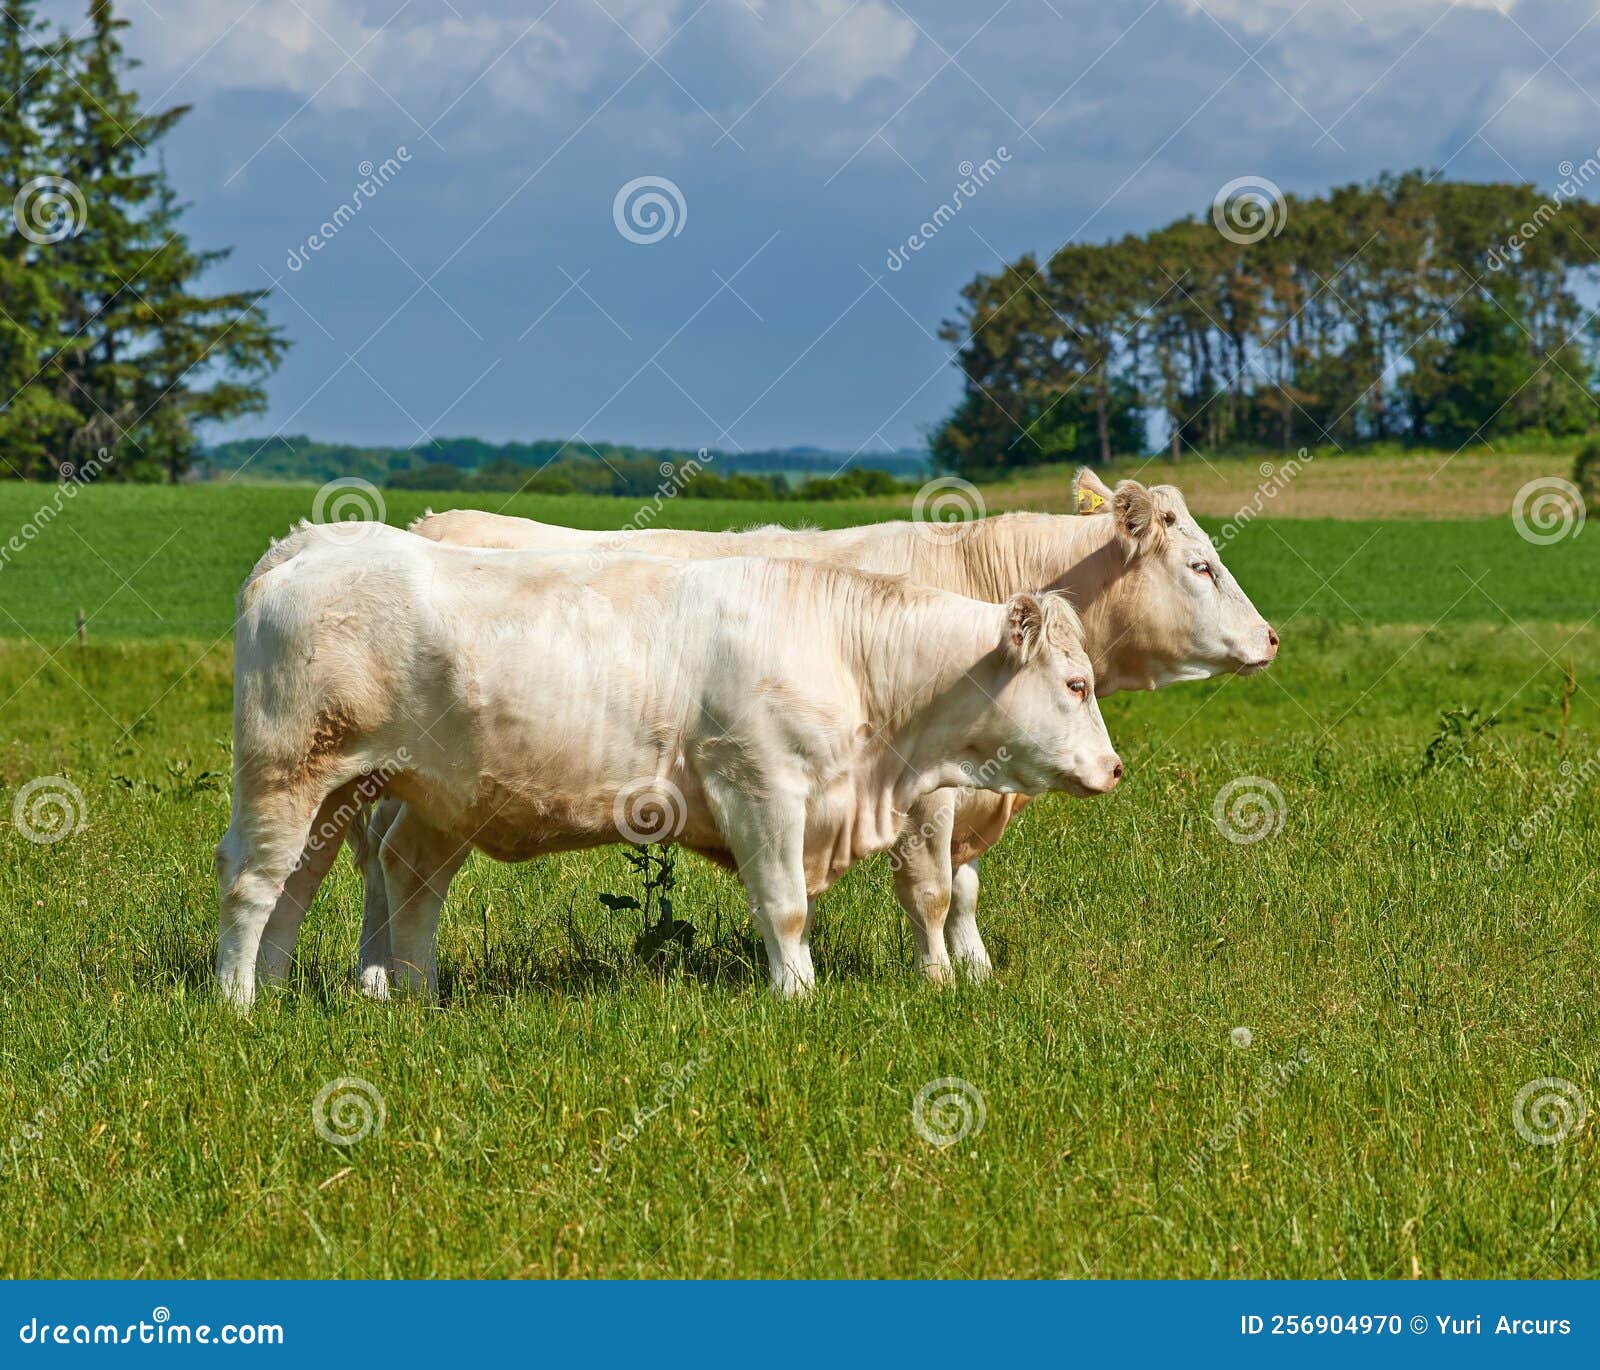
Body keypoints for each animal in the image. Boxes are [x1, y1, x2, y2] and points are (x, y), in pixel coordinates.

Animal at [216, 522, 1122, 1008]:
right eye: (1076, 684)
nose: (1115, 769)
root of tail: (312, 544)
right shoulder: (759, 788)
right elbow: (784, 907)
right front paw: (797, 994)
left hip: (365, 789)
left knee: (328, 882)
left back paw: (326, 991)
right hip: (286, 771)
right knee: (254, 881)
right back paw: (238, 1003)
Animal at [349, 469, 1277, 992]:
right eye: (1202, 565)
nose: (1270, 637)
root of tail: (433, 522)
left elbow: (967, 887)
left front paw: (977, 970)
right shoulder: (926, 793)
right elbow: (932, 888)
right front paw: (938, 979)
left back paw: (377, 980)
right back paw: (381, 981)